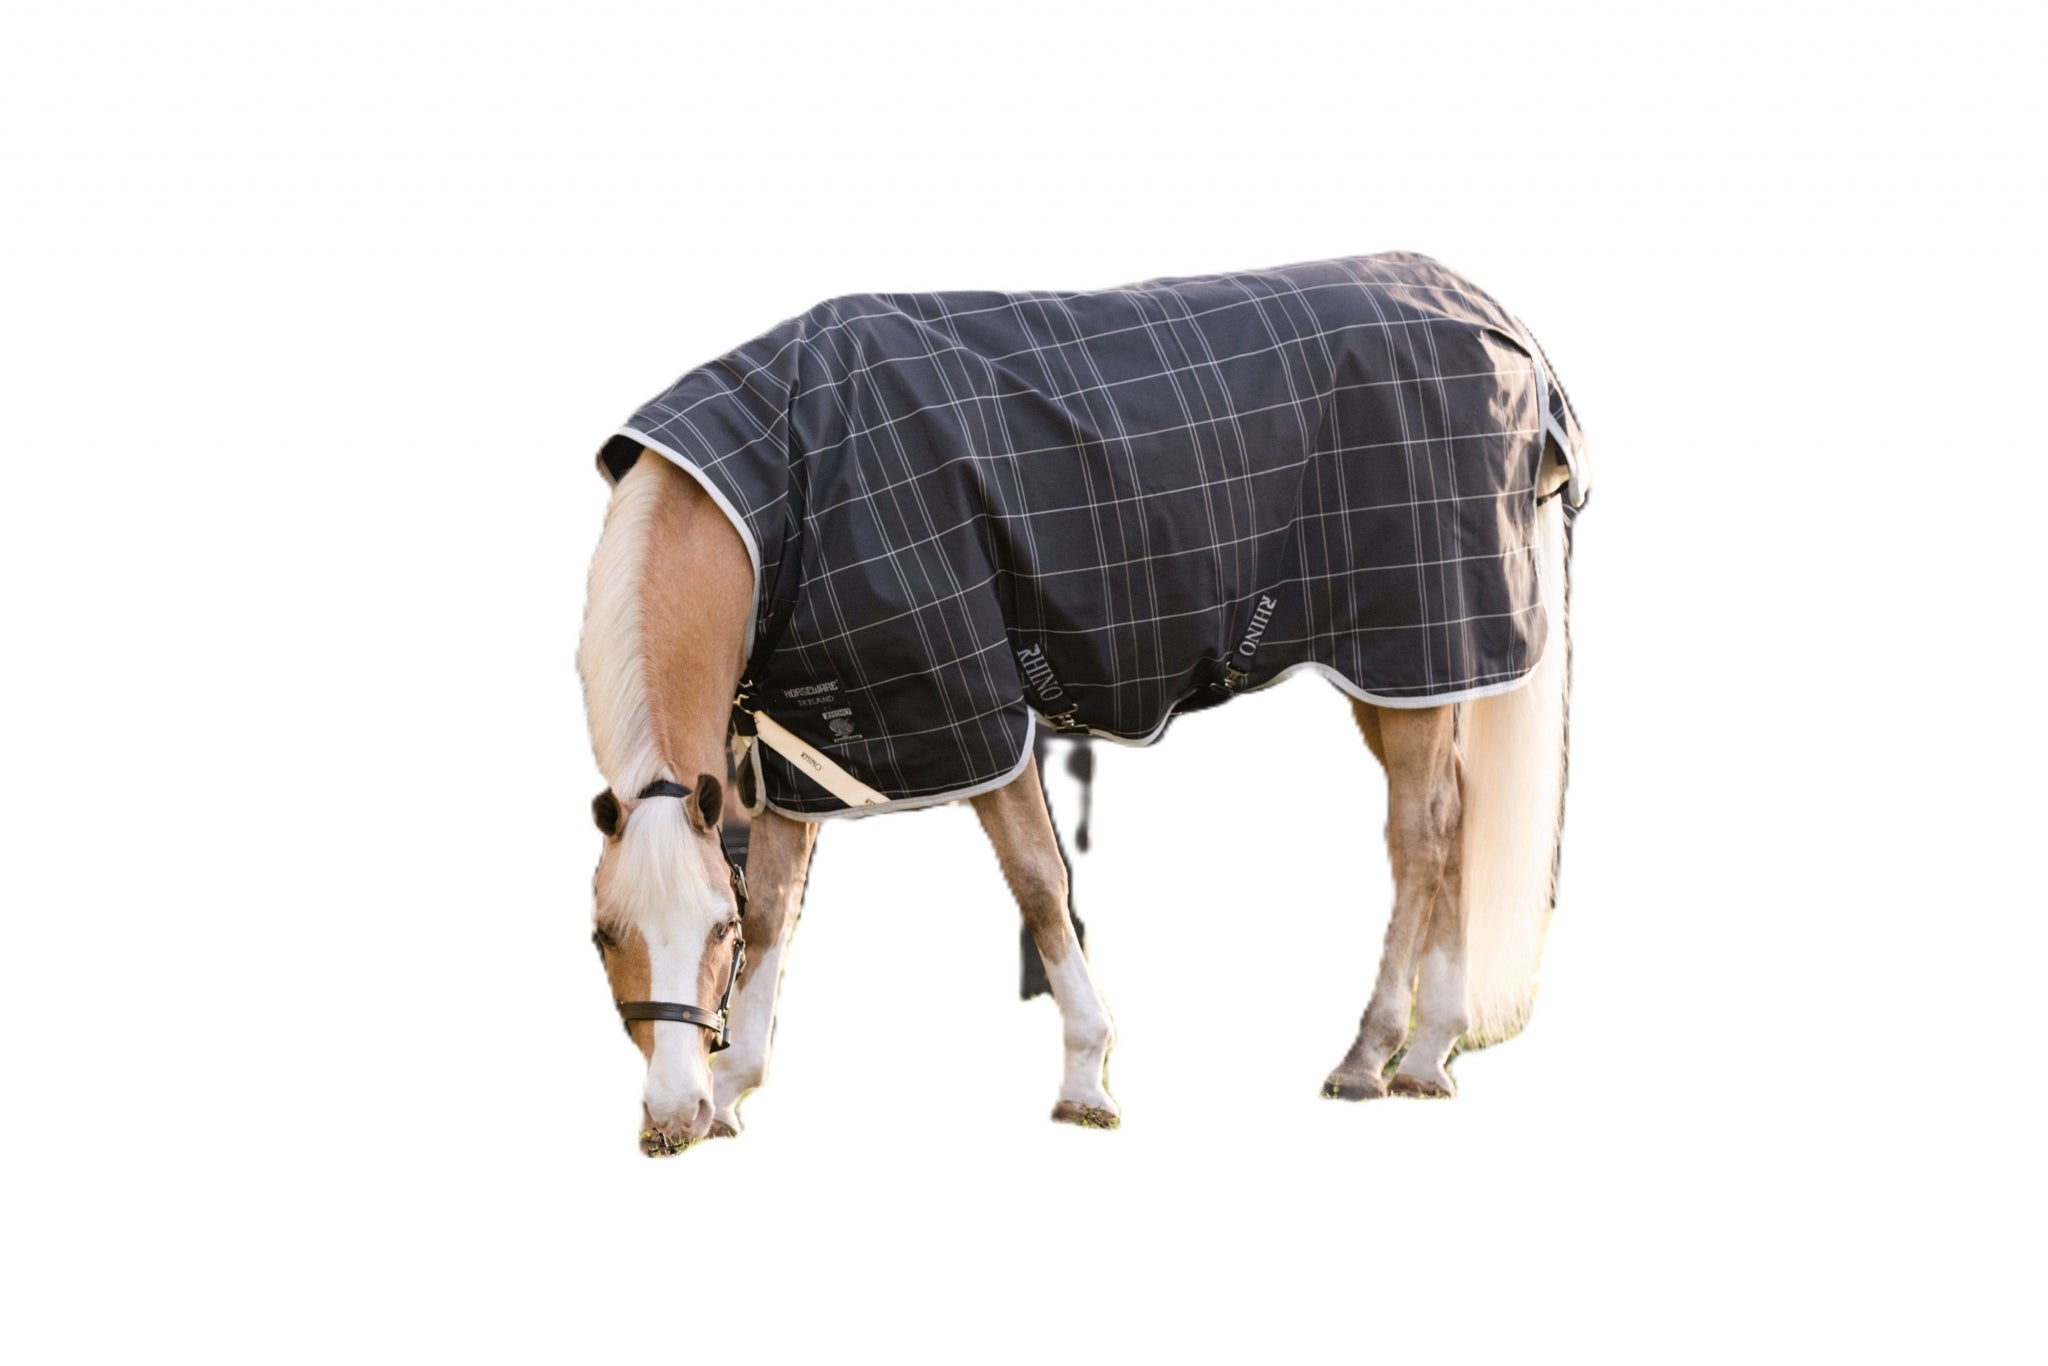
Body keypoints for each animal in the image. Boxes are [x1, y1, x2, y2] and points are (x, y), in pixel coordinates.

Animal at [577, 253, 1587, 1155]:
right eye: (602, 935)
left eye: (714, 929)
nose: (670, 1119)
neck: (785, 489)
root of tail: (1497, 321)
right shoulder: (809, 740)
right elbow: (783, 905)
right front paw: (733, 1092)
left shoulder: (970, 711)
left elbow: (1037, 879)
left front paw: (1084, 1078)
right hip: (1407, 672)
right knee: (1454, 813)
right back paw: (1426, 1054)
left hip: (1414, 649)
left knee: (1419, 832)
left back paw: (1368, 1055)